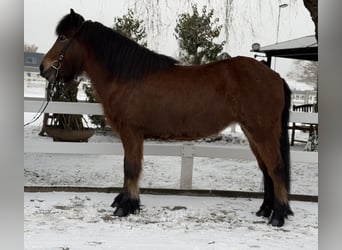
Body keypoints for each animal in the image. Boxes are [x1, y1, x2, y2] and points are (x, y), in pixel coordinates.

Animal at [39, 9, 292, 227]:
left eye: (63, 37)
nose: (43, 68)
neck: (127, 77)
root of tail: (275, 77)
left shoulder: (132, 133)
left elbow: (131, 168)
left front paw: (126, 206)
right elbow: (128, 166)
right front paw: (126, 201)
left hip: (263, 133)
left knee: (276, 168)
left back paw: (278, 216)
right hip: (252, 133)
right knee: (266, 170)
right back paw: (265, 210)